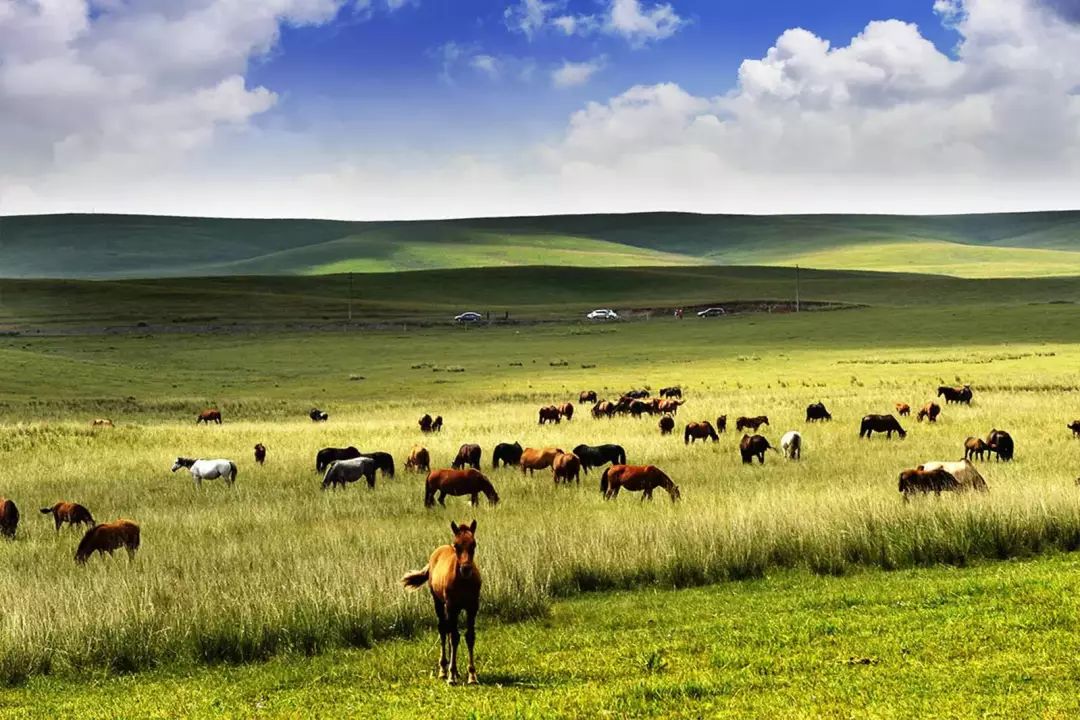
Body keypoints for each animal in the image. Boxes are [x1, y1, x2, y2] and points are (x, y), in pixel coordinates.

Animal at [399, 520, 479, 686]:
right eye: (456, 545)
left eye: (473, 544)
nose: (466, 569)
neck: (464, 582)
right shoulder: (452, 606)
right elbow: (454, 637)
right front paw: (451, 676)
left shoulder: (472, 607)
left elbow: (469, 637)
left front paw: (472, 676)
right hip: (440, 604)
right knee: (444, 630)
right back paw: (444, 670)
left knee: (449, 631)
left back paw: (455, 671)